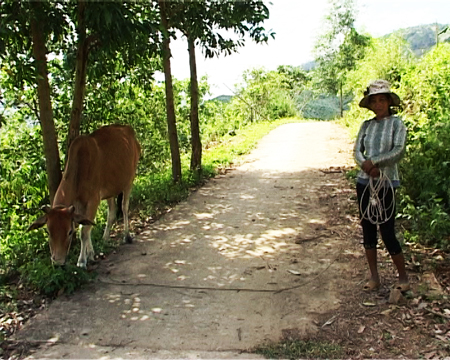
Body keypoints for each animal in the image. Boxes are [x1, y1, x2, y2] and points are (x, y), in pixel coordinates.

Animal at [27, 124, 140, 268]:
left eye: (70, 232)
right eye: (48, 231)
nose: (58, 262)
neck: (78, 172)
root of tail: (129, 130)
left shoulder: (93, 201)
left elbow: (84, 231)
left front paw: (81, 260)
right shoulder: (78, 205)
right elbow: (86, 225)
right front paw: (91, 254)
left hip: (129, 181)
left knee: (125, 207)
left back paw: (127, 236)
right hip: (110, 190)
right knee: (112, 213)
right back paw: (105, 238)